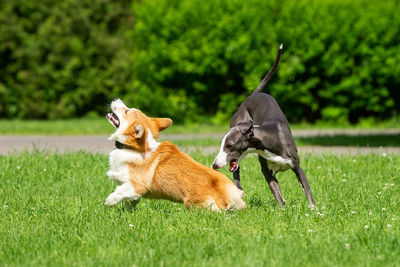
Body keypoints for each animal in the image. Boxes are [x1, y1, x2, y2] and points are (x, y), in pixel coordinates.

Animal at [104, 98, 245, 211]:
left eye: (127, 111)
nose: (115, 98)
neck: (134, 148)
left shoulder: (138, 186)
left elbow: (122, 192)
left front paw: (110, 200)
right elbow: (131, 201)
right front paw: (128, 212)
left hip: (193, 203)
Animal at [212, 44, 316, 208]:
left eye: (229, 145)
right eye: (221, 145)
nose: (214, 165)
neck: (270, 139)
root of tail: (252, 95)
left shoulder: (297, 167)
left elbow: (307, 191)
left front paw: (315, 210)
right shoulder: (266, 171)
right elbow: (277, 194)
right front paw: (283, 210)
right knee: (236, 171)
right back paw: (239, 189)